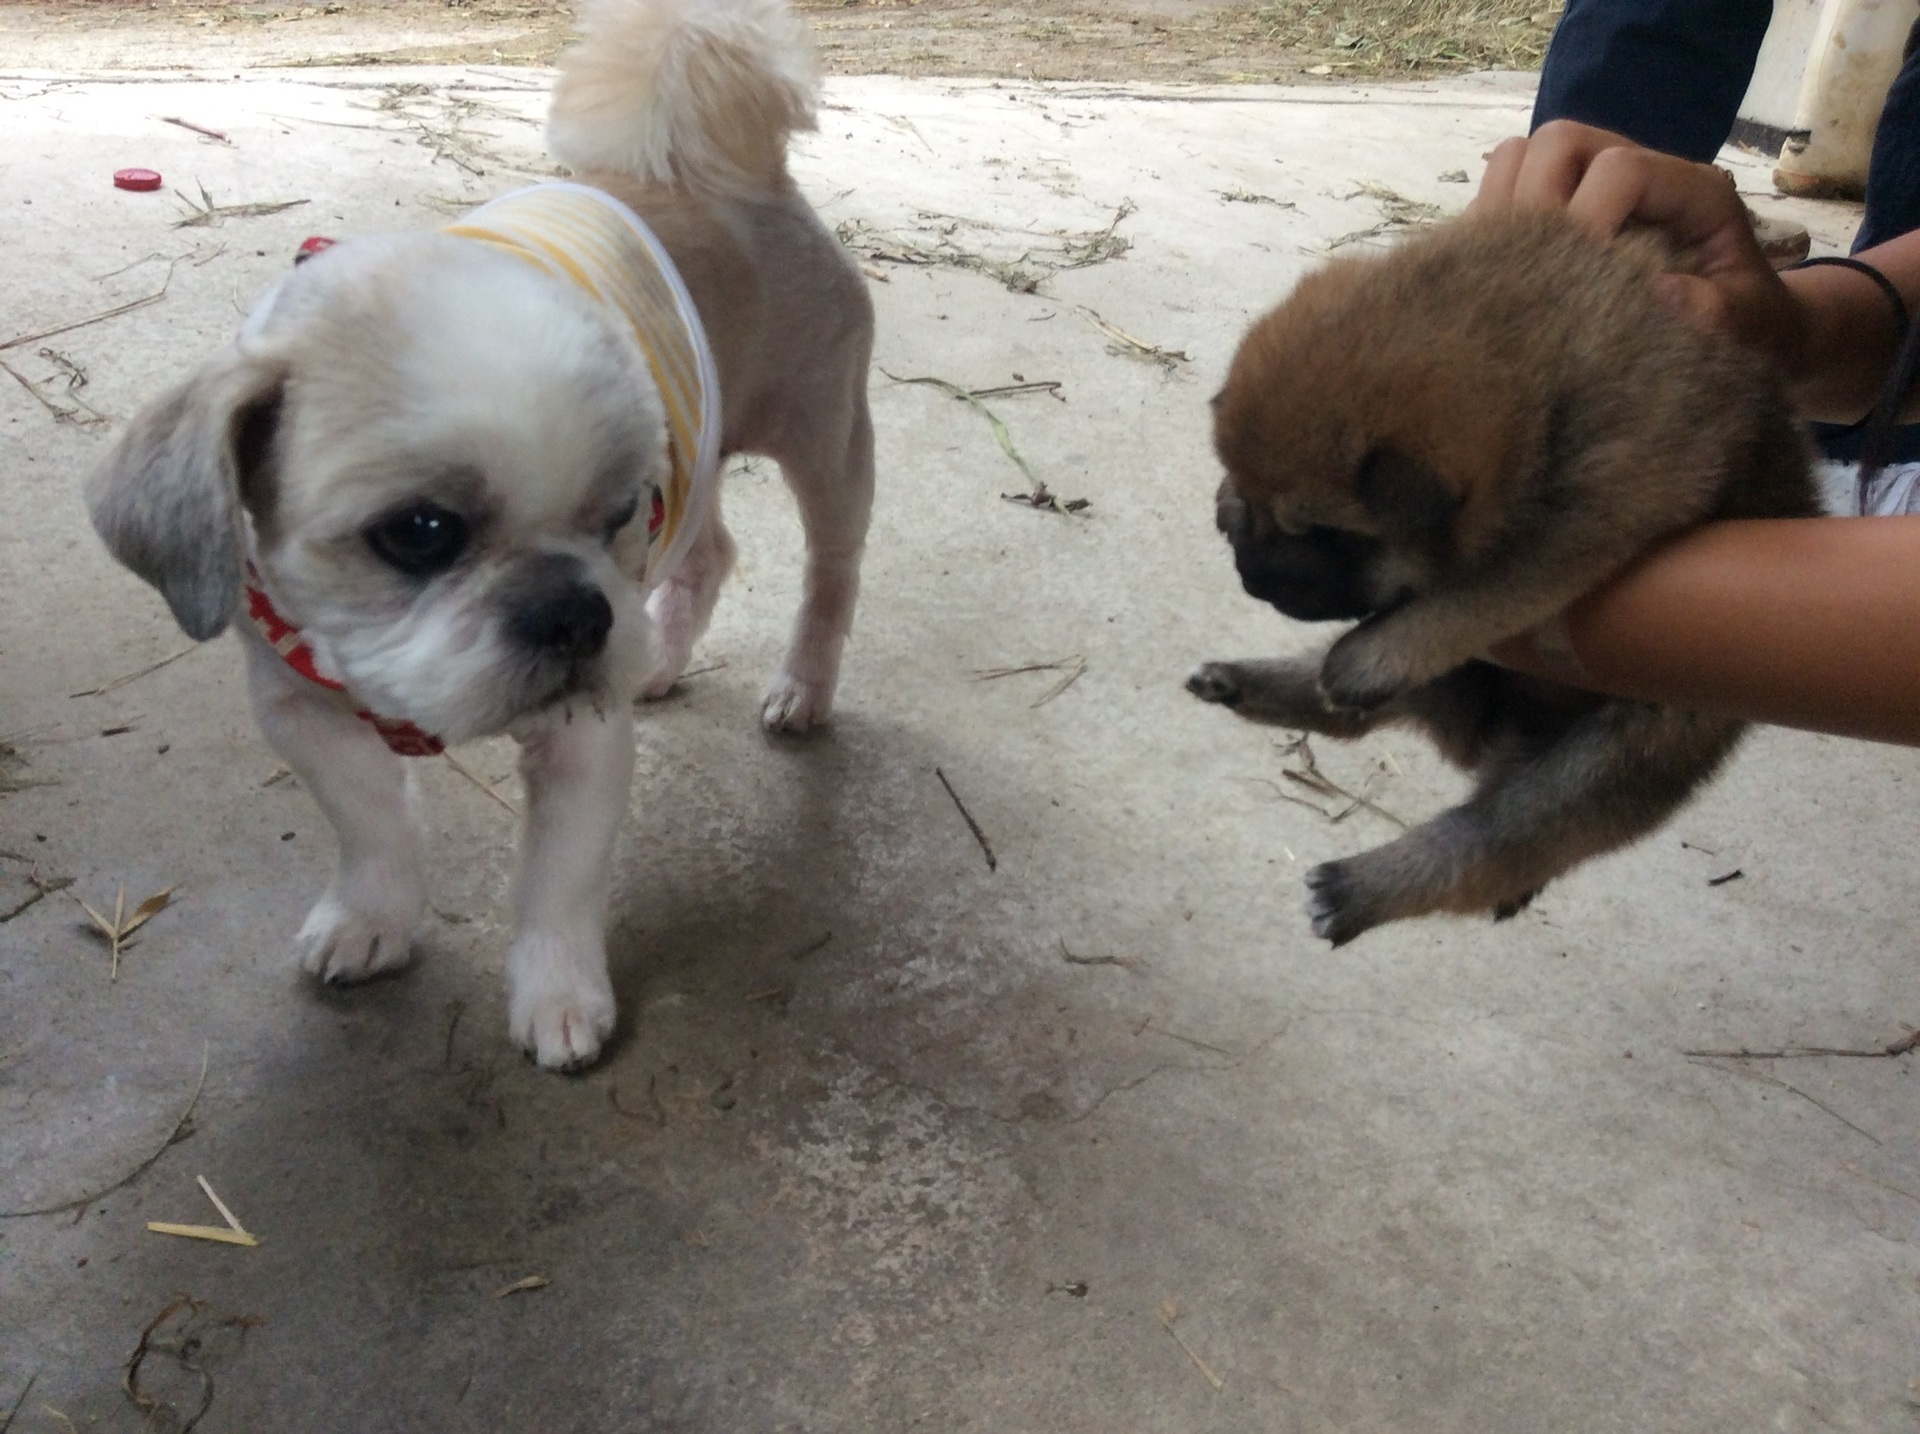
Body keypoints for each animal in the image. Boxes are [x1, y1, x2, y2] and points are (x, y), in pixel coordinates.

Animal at [86, 0, 875, 1067]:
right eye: (419, 533)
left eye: (618, 513)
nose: (578, 614)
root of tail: (744, 175)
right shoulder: (301, 712)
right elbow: (373, 828)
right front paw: (372, 916)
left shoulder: (582, 743)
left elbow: (557, 885)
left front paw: (558, 994)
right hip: (708, 456)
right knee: (709, 558)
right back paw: (661, 658)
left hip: (825, 444)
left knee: (829, 575)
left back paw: (802, 685)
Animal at [1182, 204, 1812, 940]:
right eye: (1261, 510)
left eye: (1326, 535)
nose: (1251, 579)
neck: (1539, 371)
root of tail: (1487, 737)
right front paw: (1227, 501)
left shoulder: (1589, 518)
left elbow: (1477, 594)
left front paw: (1376, 653)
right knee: (1341, 713)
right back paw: (1244, 682)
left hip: (1597, 768)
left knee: (1484, 843)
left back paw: (1356, 887)